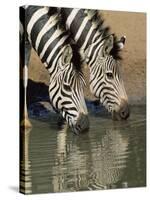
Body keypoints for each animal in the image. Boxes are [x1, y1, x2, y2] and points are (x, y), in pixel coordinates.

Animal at [19, 5, 88, 134]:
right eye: (67, 87)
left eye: (83, 86)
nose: (85, 126)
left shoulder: (26, 43)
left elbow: (24, 80)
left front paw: (25, 121)